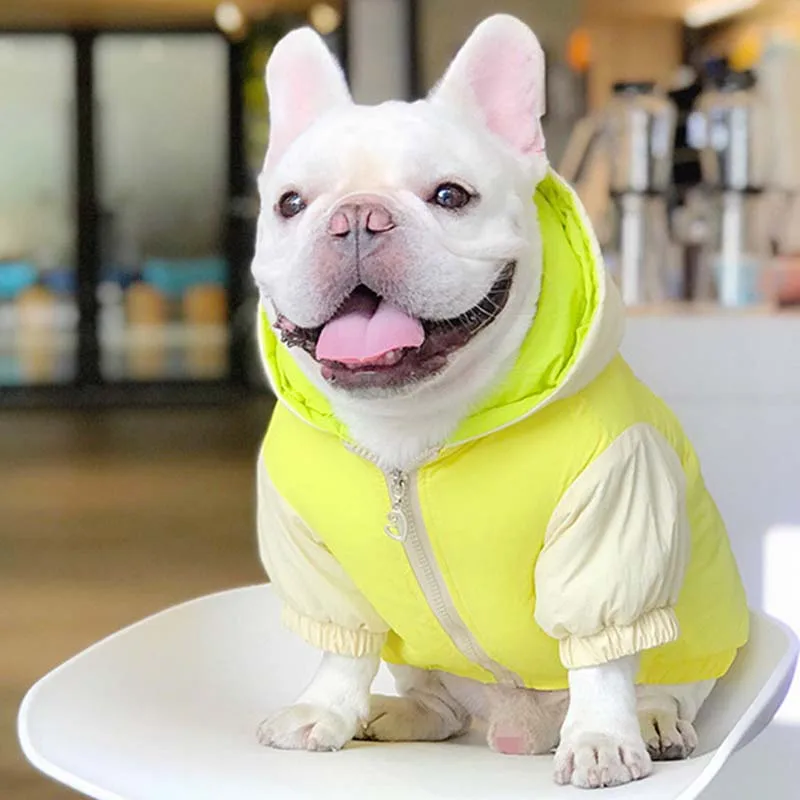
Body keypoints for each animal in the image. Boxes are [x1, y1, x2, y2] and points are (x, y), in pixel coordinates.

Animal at [250, 15, 749, 789]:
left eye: (452, 196)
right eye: (291, 204)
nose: (357, 217)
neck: (410, 434)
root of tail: (515, 725)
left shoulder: (615, 520)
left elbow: (601, 657)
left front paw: (601, 739)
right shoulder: (314, 558)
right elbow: (342, 646)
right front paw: (325, 710)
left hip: (690, 642)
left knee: (659, 682)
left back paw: (651, 723)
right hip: (428, 667)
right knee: (441, 703)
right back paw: (394, 713)